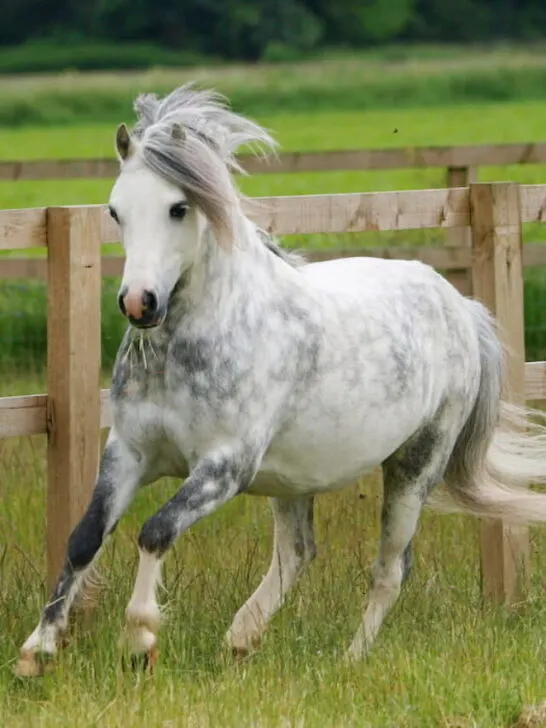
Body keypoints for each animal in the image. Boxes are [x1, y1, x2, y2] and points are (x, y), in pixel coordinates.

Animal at [14, 83, 546, 677]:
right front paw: (36, 651)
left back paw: (349, 658)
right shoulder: (128, 452)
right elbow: (84, 537)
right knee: (298, 553)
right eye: (115, 211)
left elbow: (155, 531)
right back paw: (241, 637)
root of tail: (461, 305)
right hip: (295, 476)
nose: (138, 303)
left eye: (179, 208)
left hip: (416, 464)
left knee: (390, 568)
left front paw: (140, 638)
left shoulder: (224, 465)